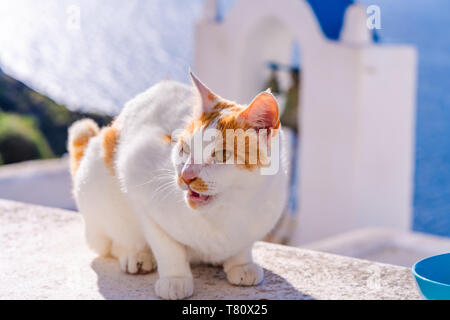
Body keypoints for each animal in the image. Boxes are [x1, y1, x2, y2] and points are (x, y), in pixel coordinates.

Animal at [69, 73, 290, 300]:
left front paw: (241, 263)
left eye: (222, 154)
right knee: (112, 241)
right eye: (184, 148)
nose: (186, 176)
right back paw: (135, 255)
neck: (228, 210)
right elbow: (166, 245)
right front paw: (175, 278)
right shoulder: (139, 184)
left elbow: (243, 244)